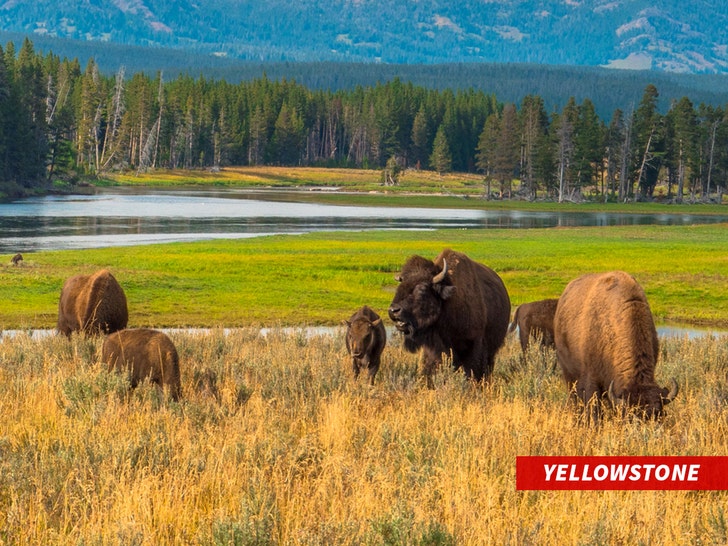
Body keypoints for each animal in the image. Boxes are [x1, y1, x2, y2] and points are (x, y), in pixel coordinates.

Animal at [388, 248, 510, 388]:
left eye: (423, 288)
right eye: (400, 285)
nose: (393, 311)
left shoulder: (474, 344)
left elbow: (472, 370)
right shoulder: (433, 350)